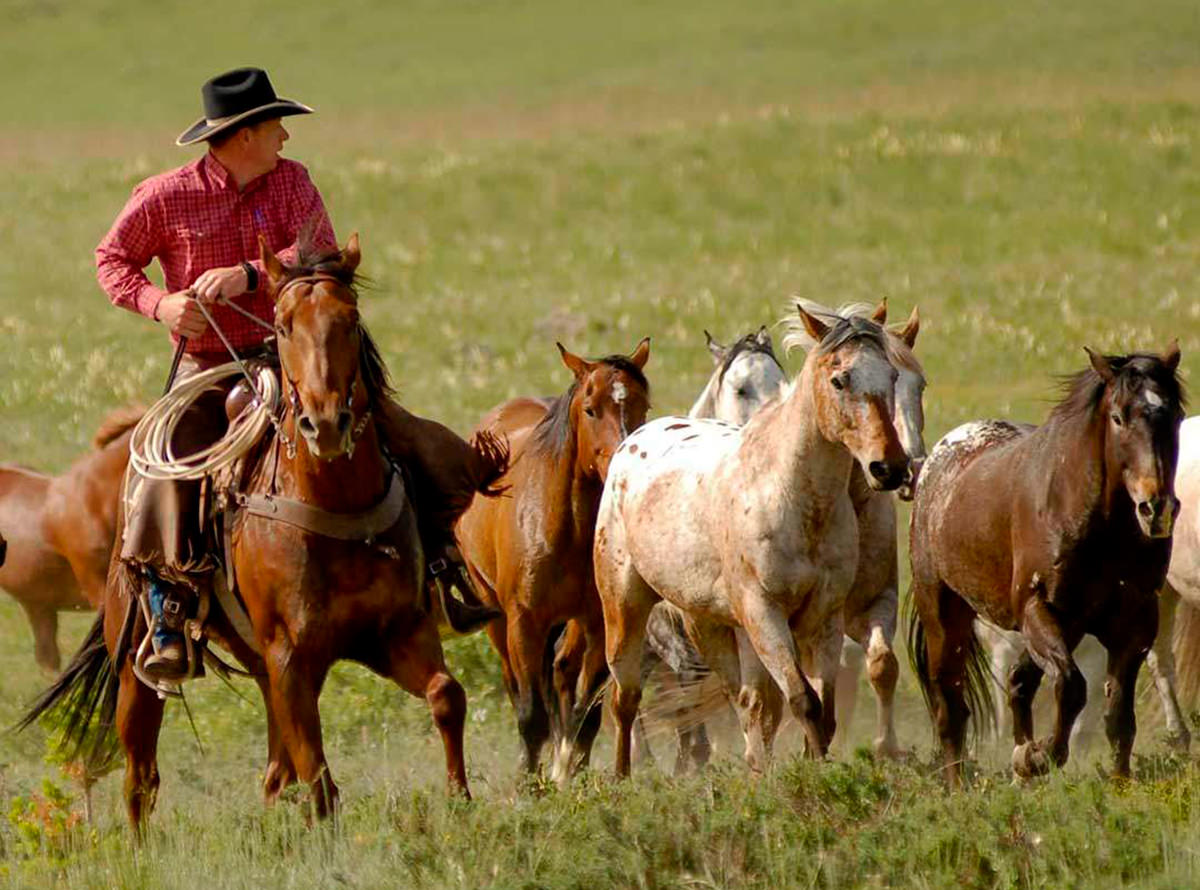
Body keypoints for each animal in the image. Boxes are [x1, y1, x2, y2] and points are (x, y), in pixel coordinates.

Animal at [455, 338, 651, 780]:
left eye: (644, 405)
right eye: (590, 408)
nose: (624, 460)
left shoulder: (598, 621)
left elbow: (587, 711)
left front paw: (569, 771)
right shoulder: (524, 622)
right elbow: (531, 715)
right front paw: (529, 783)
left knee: (562, 670)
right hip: (497, 620)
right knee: (518, 685)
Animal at [596, 307, 908, 776]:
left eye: (891, 375)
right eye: (839, 380)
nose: (889, 467)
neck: (792, 494)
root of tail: (632, 440)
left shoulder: (824, 618)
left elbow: (822, 710)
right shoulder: (764, 613)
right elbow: (803, 701)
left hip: (707, 624)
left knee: (745, 701)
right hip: (625, 609)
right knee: (626, 698)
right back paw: (622, 776)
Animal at [907, 344, 1184, 787]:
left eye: (1173, 415)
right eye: (1118, 417)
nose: (1156, 507)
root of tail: (938, 457)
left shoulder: (1134, 624)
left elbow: (1118, 715)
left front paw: (1119, 782)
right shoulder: (1039, 608)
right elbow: (1071, 687)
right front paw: (1036, 758)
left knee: (1019, 681)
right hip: (945, 616)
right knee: (950, 702)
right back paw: (958, 785)